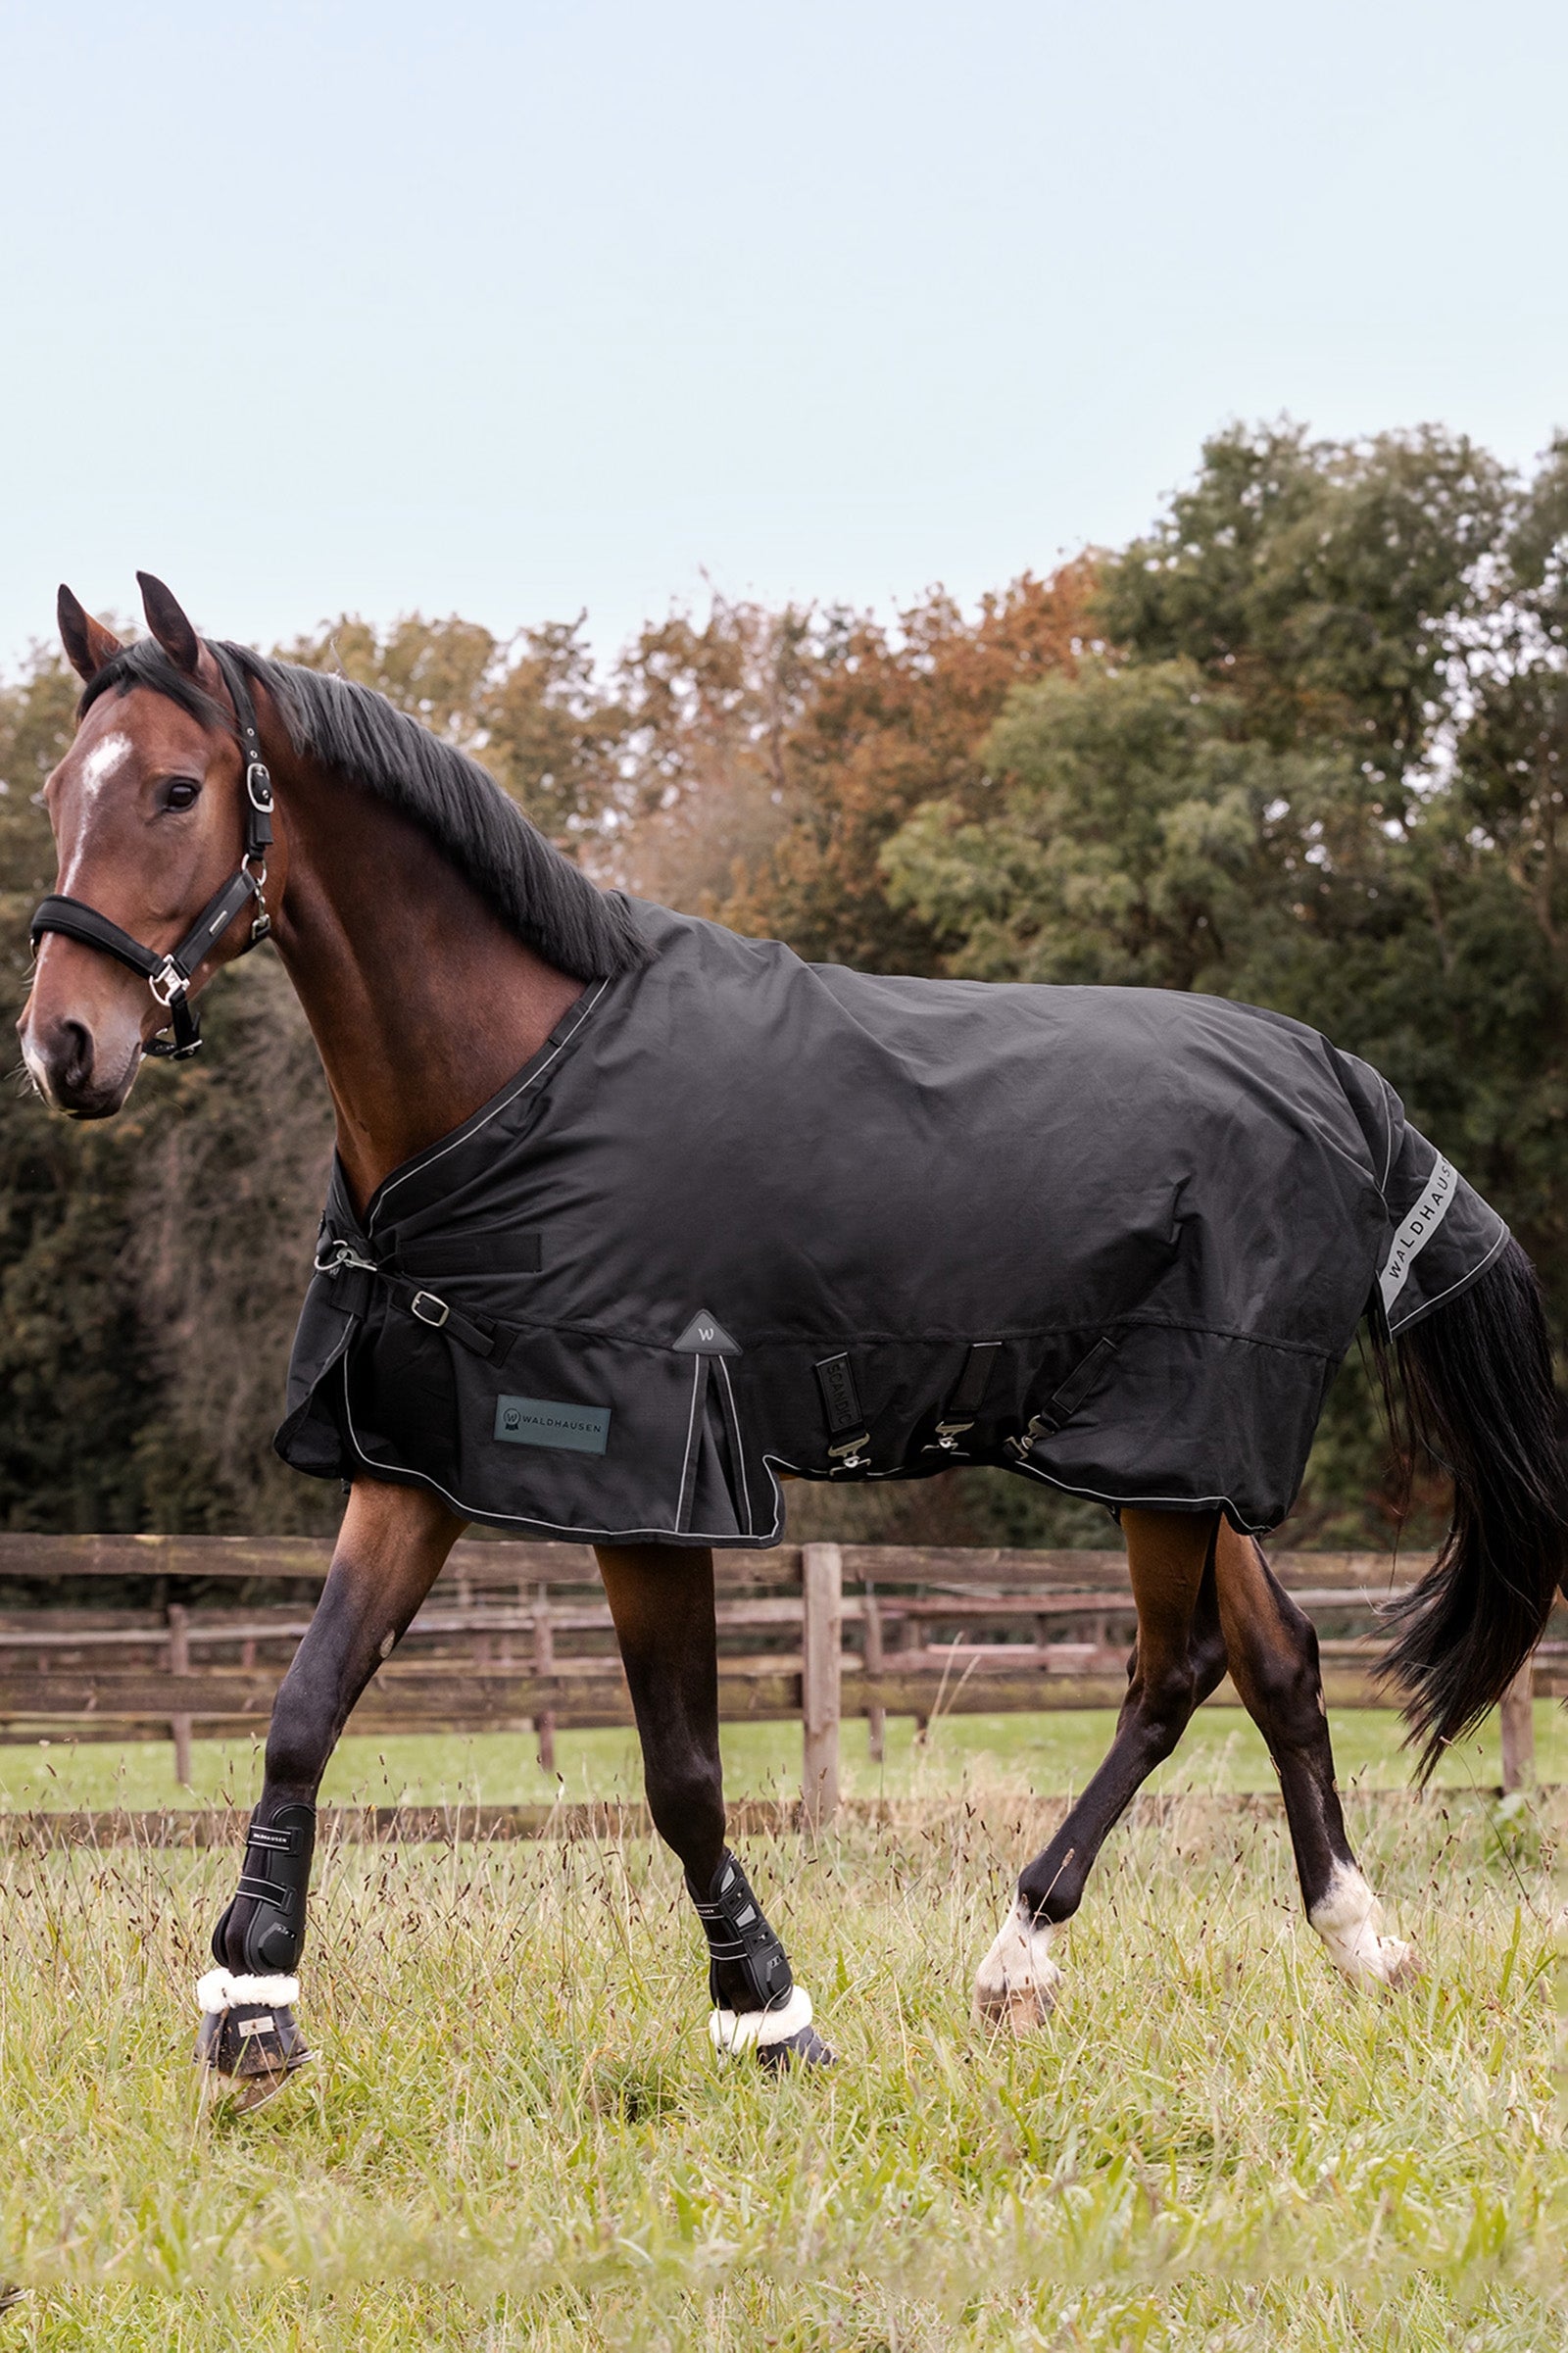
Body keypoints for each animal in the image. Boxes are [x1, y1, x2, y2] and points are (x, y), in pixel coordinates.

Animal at [18, 574, 1565, 2107]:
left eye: (174, 788)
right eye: (52, 791)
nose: (62, 1048)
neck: (513, 1081)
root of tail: (1339, 1077)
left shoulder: (651, 1478)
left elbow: (683, 1774)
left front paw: (767, 2011)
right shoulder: (418, 1455)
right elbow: (304, 1707)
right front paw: (252, 2007)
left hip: (1174, 1439)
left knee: (1173, 1670)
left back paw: (1021, 1953)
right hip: (1172, 1458)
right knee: (1277, 1657)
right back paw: (1358, 1940)